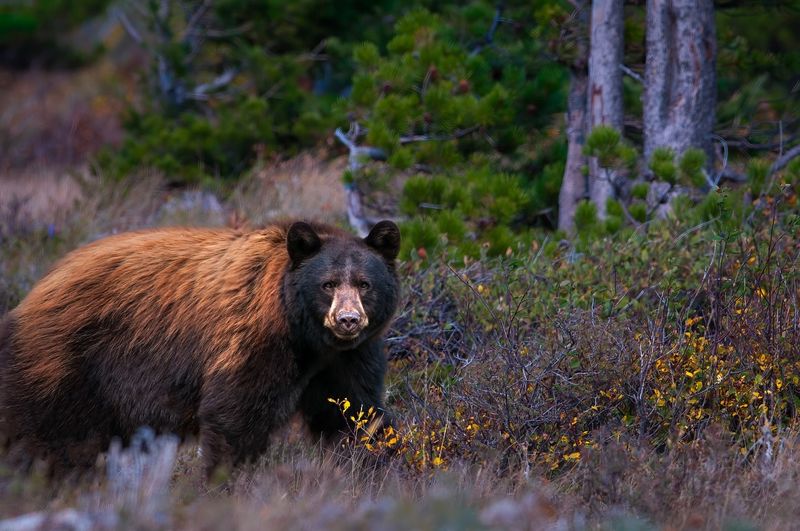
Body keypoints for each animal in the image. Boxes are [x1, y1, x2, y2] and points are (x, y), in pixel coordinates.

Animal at [0, 219, 401, 476]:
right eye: (328, 284)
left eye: (364, 283)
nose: (348, 320)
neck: (305, 335)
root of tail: (32, 296)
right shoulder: (254, 341)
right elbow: (236, 417)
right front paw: (223, 481)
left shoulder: (347, 358)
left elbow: (355, 412)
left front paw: (377, 466)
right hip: (66, 367)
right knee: (46, 439)